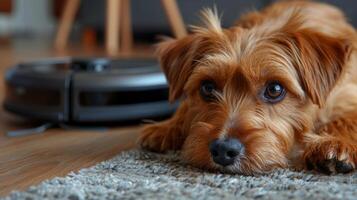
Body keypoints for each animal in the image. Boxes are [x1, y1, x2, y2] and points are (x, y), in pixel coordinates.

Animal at [137, 0, 356, 175]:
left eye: (274, 89)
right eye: (208, 88)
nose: (223, 150)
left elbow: (345, 119)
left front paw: (333, 144)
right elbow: (185, 106)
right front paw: (168, 126)